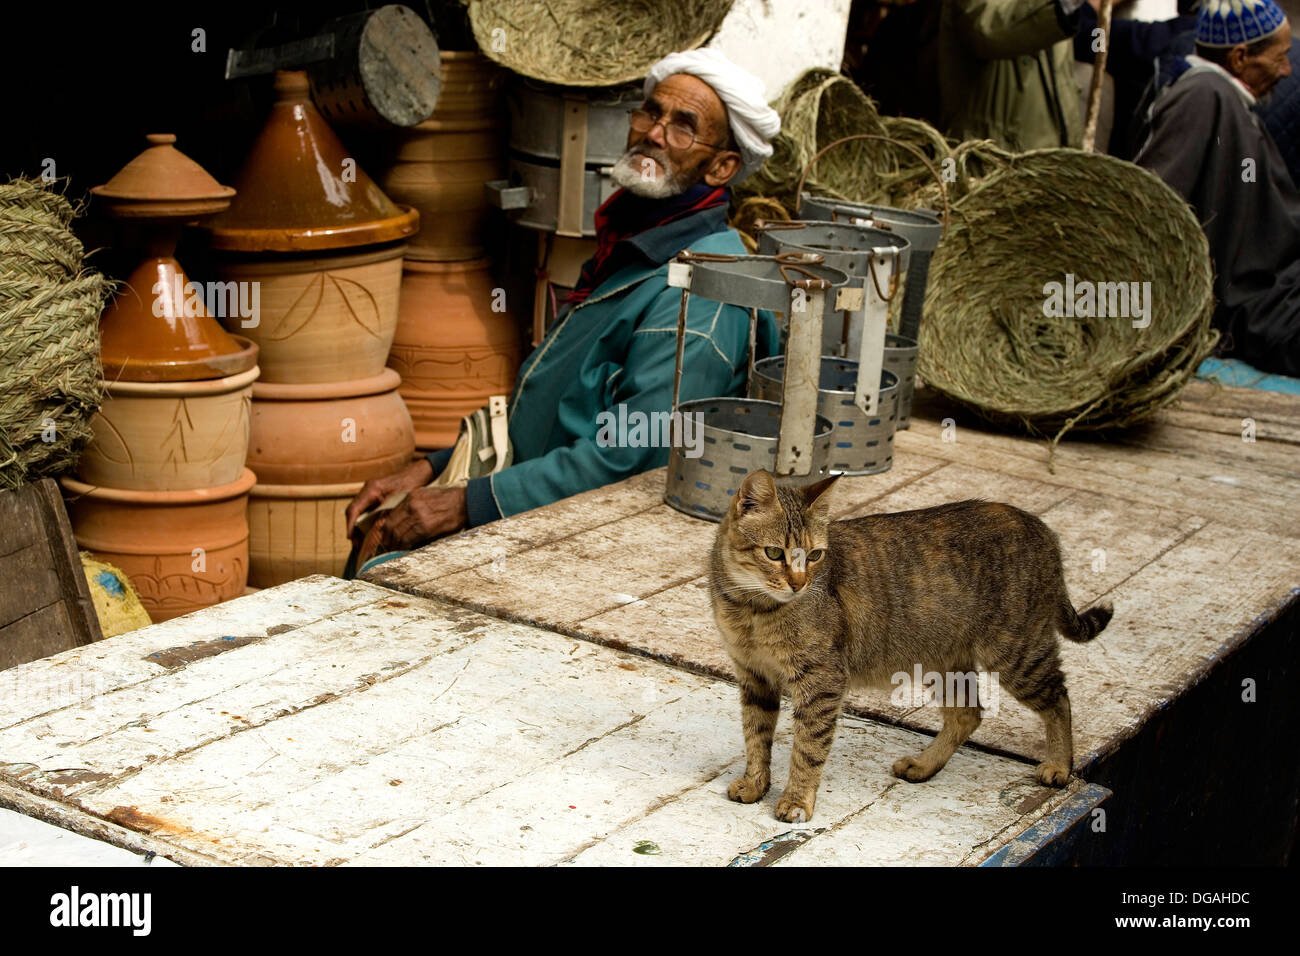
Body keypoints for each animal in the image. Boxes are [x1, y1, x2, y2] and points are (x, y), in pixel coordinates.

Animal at [707, 470, 1112, 822]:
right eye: (775, 553)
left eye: (816, 555)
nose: (799, 583)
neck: (752, 609)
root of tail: (1040, 527)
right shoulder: (754, 677)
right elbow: (756, 736)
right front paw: (756, 784)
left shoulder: (821, 681)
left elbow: (807, 749)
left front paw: (795, 801)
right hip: (944, 660)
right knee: (968, 714)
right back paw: (924, 765)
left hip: (1017, 655)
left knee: (1059, 699)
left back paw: (1059, 765)